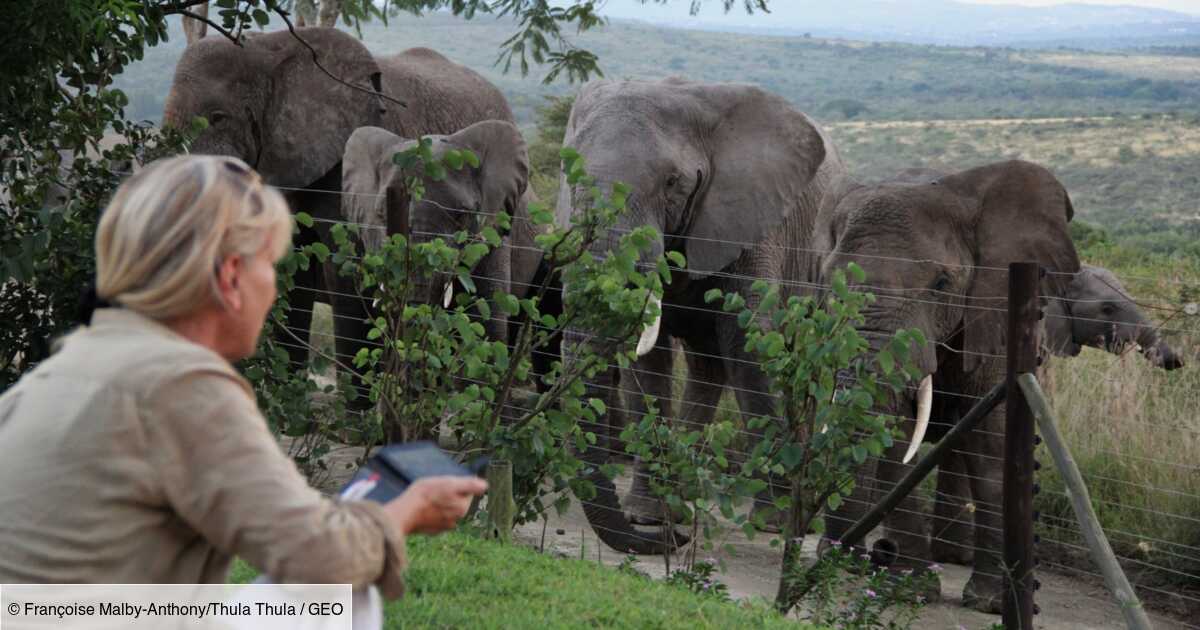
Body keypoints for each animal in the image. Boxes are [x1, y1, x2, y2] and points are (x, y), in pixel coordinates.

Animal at [162, 28, 513, 408]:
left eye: (217, 117)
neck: (267, 47)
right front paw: (287, 405)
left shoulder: (343, 165)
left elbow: (345, 268)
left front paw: (353, 417)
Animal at [549, 76, 844, 552]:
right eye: (568, 174)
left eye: (672, 182)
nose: (679, 540)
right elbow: (648, 365)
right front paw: (649, 518)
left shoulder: (755, 221)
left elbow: (749, 345)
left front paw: (777, 524)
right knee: (707, 364)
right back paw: (683, 493)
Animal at [816, 159, 1089, 612]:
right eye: (827, 280)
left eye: (942, 284)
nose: (875, 554)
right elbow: (898, 437)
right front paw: (911, 588)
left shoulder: (993, 312)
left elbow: (992, 444)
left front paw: (991, 604)